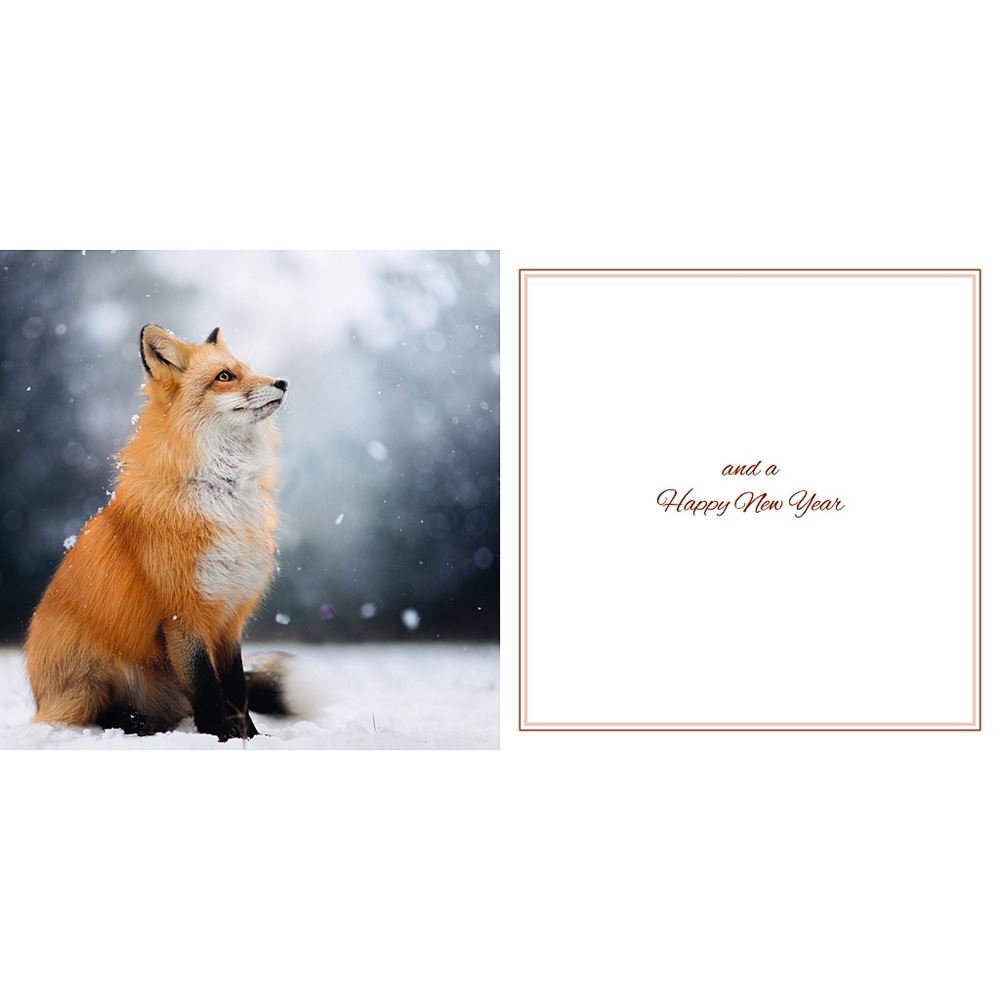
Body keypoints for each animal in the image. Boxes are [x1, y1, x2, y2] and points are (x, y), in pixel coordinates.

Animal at [25, 323, 290, 740]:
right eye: (225, 376)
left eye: (247, 369)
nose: (282, 382)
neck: (221, 491)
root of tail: (39, 698)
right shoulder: (183, 613)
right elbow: (206, 688)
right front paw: (220, 738)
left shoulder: (230, 615)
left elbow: (235, 688)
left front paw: (251, 738)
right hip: (92, 676)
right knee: (94, 713)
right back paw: (134, 723)